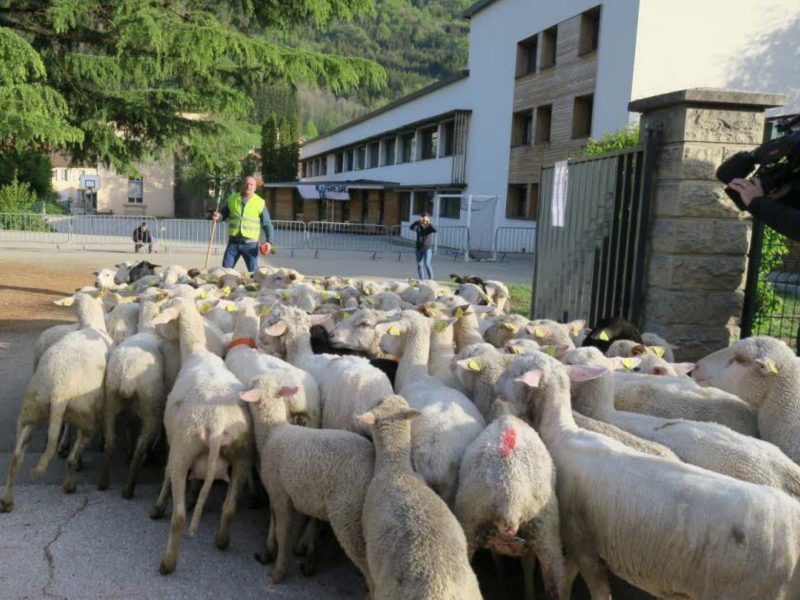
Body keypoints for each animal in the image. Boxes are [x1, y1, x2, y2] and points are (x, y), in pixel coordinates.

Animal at [496, 352, 800, 600]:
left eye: (516, 371)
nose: (497, 388)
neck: (562, 433)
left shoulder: (583, 543)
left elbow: (595, 590)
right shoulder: (575, 543)